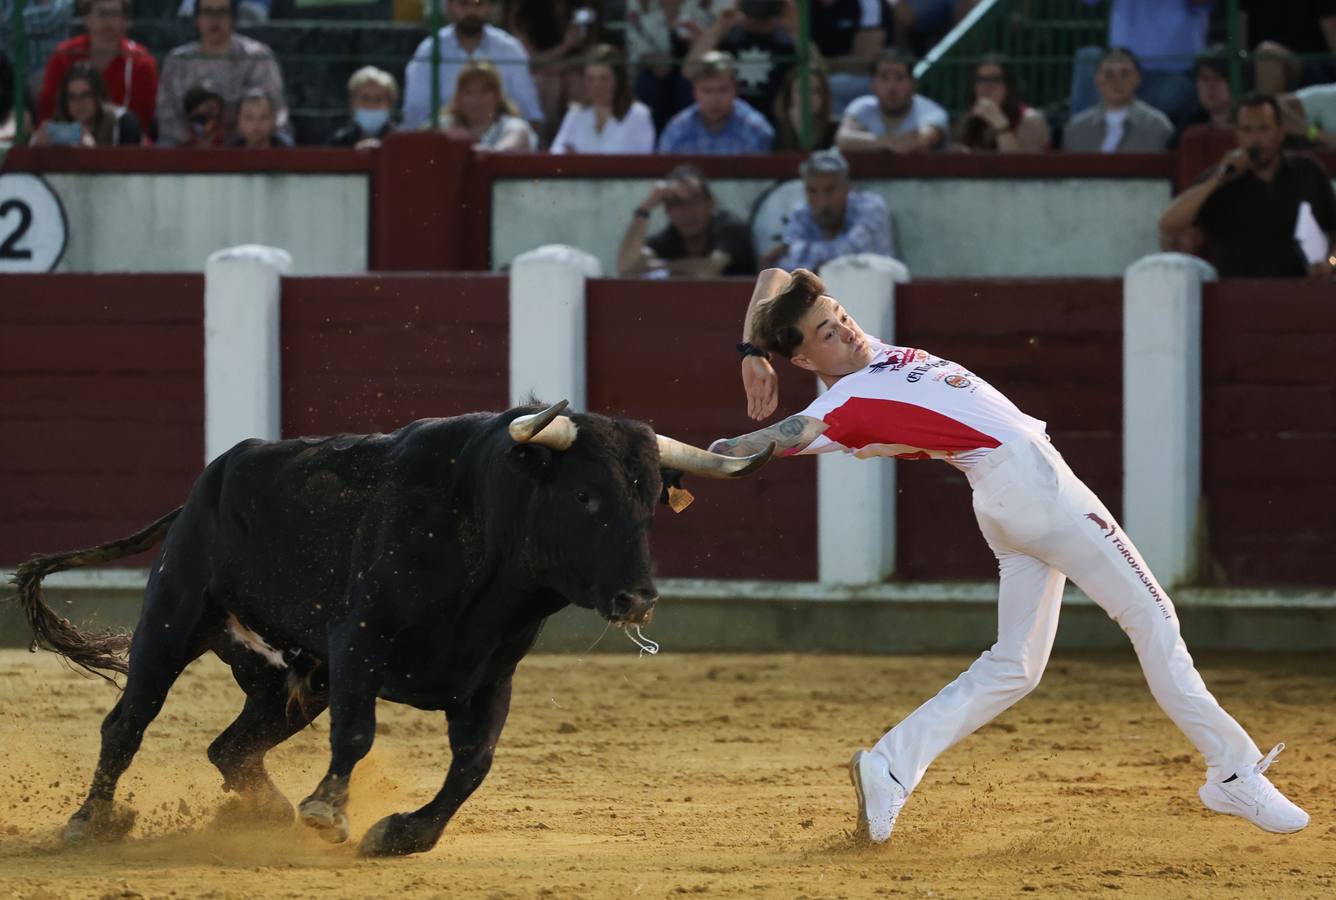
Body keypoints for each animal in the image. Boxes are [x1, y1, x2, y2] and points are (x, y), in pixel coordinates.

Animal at [7, 400, 774, 854]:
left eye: (650, 503)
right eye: (586, 496)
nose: (637, 598)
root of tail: (207, 483)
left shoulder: (490, 674)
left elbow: (474, 763)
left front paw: (402, 833)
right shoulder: (359, 643)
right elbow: (358, 733)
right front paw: (329, 812)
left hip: (291, 678)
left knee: (230, 746)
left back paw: (263, 814)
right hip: (174, 616)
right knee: (128, 721)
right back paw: (91, 822)